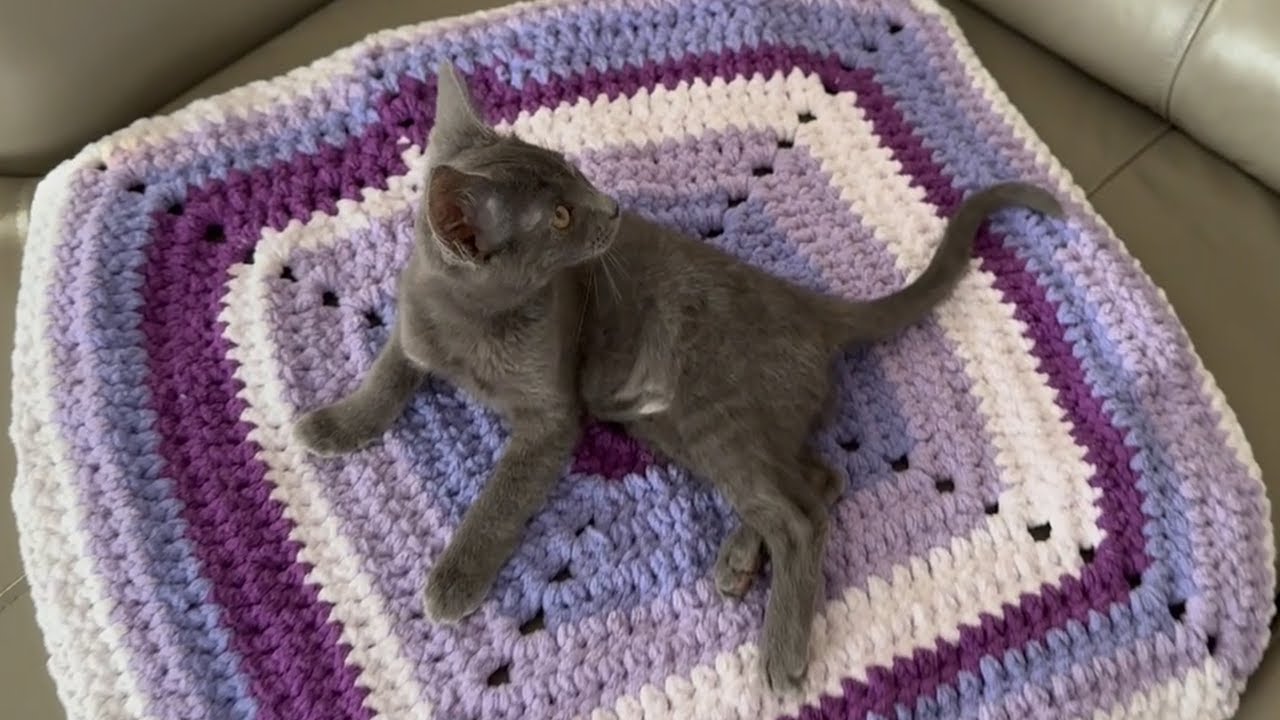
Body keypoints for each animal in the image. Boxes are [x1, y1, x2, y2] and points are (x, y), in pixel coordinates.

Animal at [295, 61, 1064, 692]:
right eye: (561, 215)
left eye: (572, 177)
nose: (611, 207)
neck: (472, 323)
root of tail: (809, 305)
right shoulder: (413, 327)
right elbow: (385, 376)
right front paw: (333, 424)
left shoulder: (551, 419)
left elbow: (501, 499)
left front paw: (454, 578)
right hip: (687, 426)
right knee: (821, 479)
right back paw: (741, 558)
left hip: (709, 416)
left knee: (800, 516)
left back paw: (781, 648)